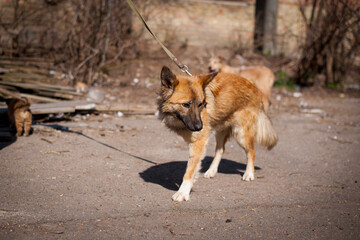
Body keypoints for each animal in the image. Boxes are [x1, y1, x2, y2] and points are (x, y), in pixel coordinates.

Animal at [158, 66, 278, 202]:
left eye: (200, 104)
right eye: (185, 105)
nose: (200, 127)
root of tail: (256, 89)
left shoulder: (198, 143)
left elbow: (189, 170)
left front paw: (183, 192)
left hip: (240, 134)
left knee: (251, 152)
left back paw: (249, 174)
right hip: (220, 132)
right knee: (220, 150)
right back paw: (212, 171)